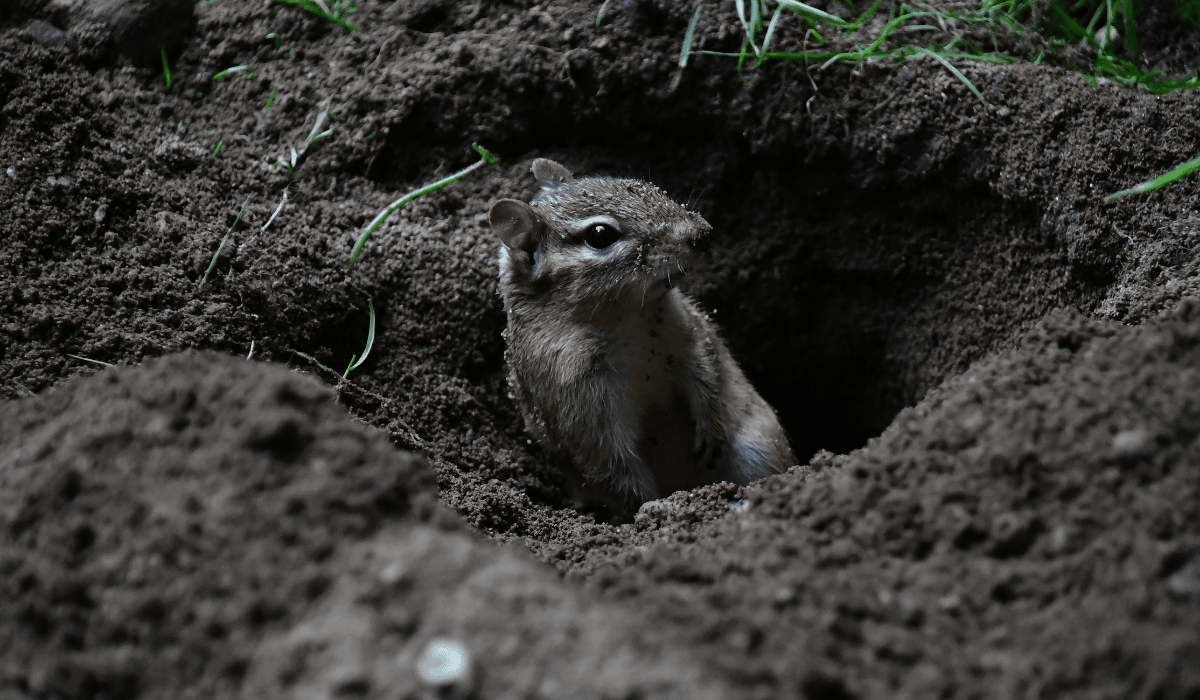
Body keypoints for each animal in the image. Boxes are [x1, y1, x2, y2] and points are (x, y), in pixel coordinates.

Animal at [489, 158, 795, 517]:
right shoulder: (578, 401)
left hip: (758, 449)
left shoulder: (688, 335)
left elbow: (706, 374)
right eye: (600, 235)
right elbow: (613, 467)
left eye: (641, 184)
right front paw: (651, 507)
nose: (703, 233)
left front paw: (711, 429)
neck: (627, 320)